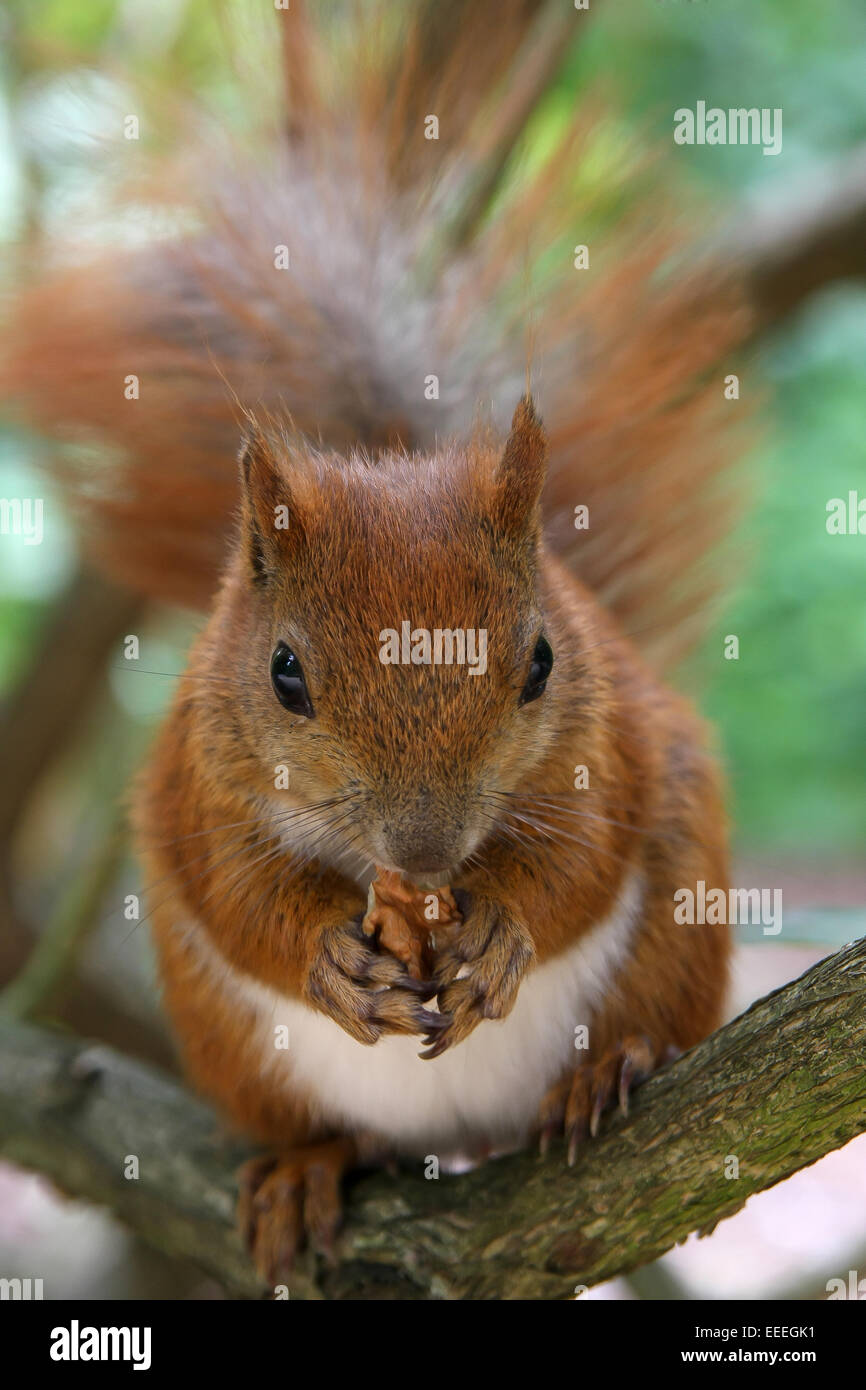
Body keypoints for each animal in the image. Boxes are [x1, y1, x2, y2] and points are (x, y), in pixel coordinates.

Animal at [0, 0, 745, 1278]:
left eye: (540, 661)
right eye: (282, 673)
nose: (428, 852)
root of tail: (464, 1134)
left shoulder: (605, 750)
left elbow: (579, 861)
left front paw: (499, 925)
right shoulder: (197, 784)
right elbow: (238, 896)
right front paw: (322, 952)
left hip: (677, 913)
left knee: (642, 1003)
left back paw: (607, 1066)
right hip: (231, 1047)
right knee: (314, 1122)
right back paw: (306, 1169)